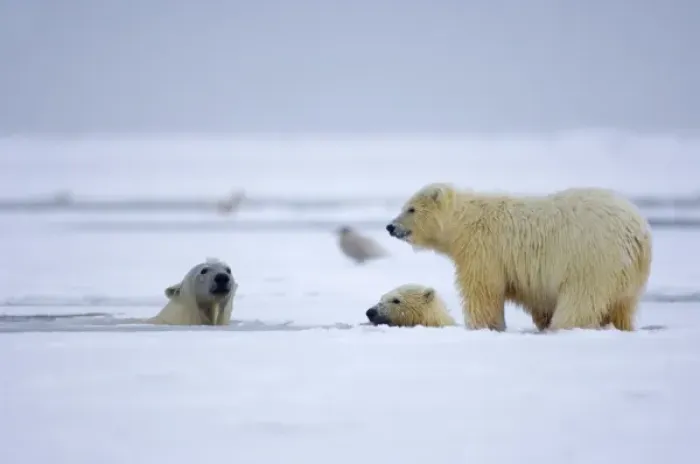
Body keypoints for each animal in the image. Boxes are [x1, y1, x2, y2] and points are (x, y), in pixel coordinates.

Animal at [385, 183, 652, 332]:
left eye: (411, 209)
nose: (390, 227)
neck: (465, 222)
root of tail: (638, 231)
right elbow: (538, 301)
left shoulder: (483, 249)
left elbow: (483, 290)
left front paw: (484, 325)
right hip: (628, 275)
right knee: (622, 307)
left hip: (592, 259)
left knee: (580, 300)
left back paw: (563, 327)